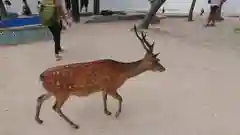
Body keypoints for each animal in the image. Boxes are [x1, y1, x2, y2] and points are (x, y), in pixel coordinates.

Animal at [35, 24, 166, 129]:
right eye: (155, 61)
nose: (163, 68)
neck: (121, 73)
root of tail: (41, 76)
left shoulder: (104, 87)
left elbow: (104, 98)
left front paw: (107, 112)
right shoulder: (111, 86)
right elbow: (120, 98)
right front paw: (116, 114)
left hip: (53, 92)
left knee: (40, 98)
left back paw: (39, 120)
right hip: (62, 93)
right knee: (55, 107)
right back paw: (74, 125)